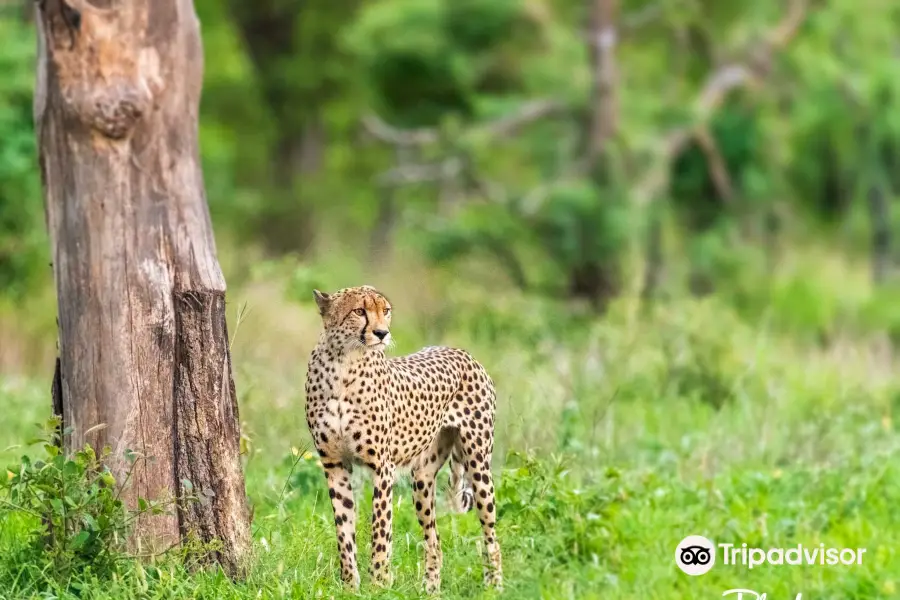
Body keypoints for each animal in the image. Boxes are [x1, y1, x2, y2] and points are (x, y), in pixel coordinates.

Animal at [304, 288, 502, 596]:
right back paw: (430, 589)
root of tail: (461, 351)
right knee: (434, 540)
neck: (343, 363)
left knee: (491, 534)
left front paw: (379, 583)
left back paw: (495, 586)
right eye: (359, 311)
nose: (382, 333)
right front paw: (350, 585)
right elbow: (344, 532)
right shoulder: (334, 466)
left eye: (385, 310)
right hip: (422, 479)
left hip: (479, 465)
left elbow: (380, 530)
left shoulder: (383, 468)